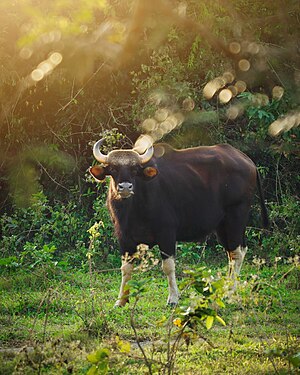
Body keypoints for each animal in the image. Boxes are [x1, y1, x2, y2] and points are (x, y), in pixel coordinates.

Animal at [89, 140, 270, 306]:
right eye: (113, 169)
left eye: (134, 169)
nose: (125, 187)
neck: (134, 209)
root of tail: (248, 161)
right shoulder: (124, 237)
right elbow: (126, 269)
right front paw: (121, 300)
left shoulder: (167, 234)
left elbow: (168, 266)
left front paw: (173, 298)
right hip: (222, 225)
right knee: (233, 252)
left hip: (236, 216)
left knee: (237, 252)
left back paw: (230, 291)